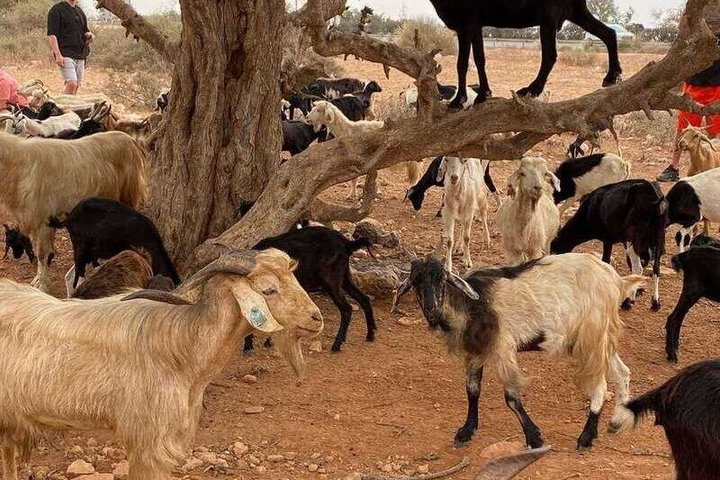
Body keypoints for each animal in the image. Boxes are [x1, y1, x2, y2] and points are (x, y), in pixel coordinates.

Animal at [0, 132, 147, 292]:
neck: (18, 164)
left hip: (128, 194)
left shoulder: (43, 218)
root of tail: (131, 139)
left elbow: (42, 254)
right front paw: (39, 279)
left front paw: (42, 284)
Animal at [393, 253, 642, 450]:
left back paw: (586, 437)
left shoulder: (503, 347)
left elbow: (511, 397)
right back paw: (617, 422)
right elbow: (472, 390)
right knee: (623, 372)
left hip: (592, 337)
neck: (472, 304)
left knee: (600, 384)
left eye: (442, 280)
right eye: (415, 282)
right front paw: (466, 431)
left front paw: (534, 437)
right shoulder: (474, 351)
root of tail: (617, 281)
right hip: (601, 339)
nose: (431, 308)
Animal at [429, 0, 621, 108]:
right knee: (609, 33)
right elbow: (461, 63)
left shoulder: (472, 20)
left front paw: (482, 95)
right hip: (576, 11)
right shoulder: (462, 27)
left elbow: (478, 58)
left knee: (550, 55)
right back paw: (612, 76)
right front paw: (459, 100)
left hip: (549, 16)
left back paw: (531, 89)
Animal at [551, 179, 667, 311]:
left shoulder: (608, 239)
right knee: (656, 267)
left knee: (638, 268)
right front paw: (639, 288)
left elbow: (606, 261)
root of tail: (655, 199)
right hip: (659, 235)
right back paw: (655, 302)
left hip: (633, 236)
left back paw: (628, 302)